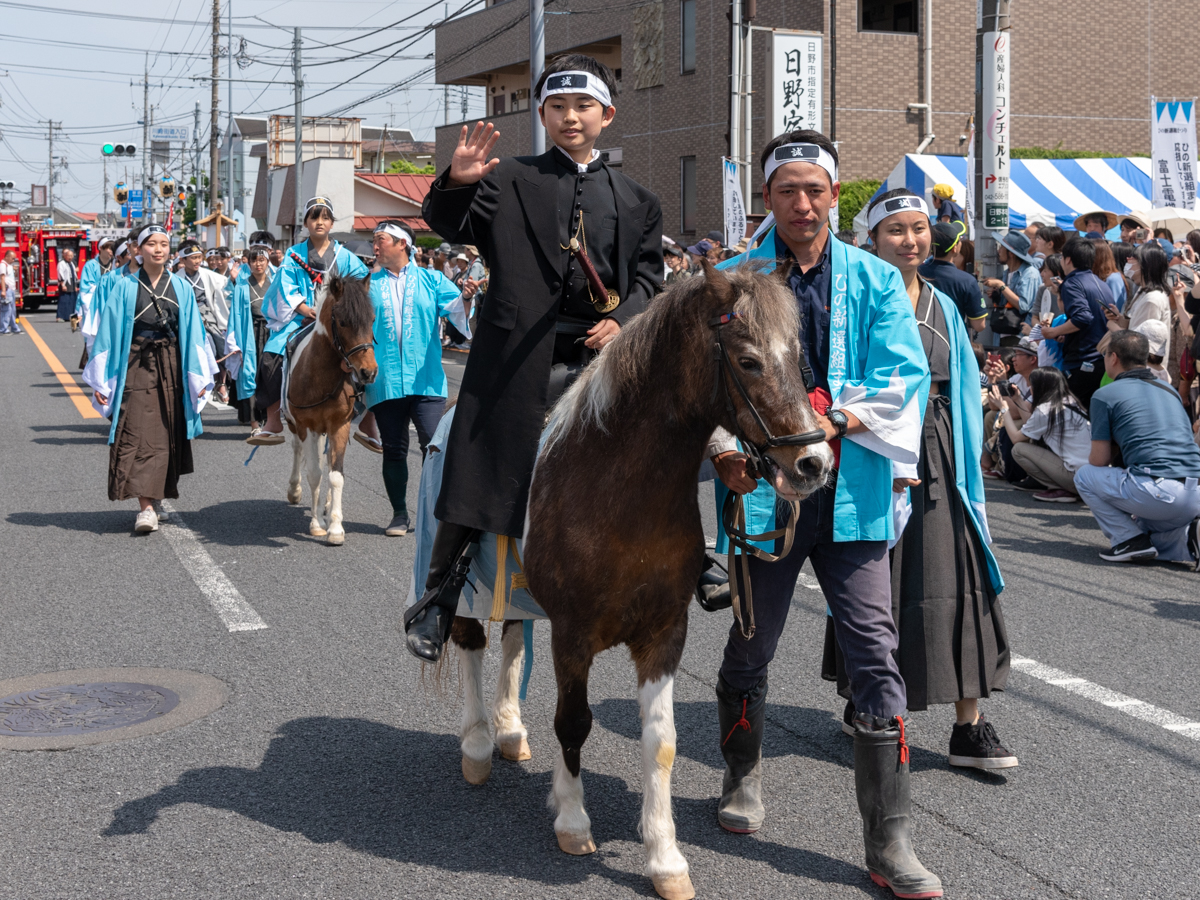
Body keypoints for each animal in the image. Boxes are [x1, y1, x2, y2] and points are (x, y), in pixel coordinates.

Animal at [282, 271, 372, 547]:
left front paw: (335, 526)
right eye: (343, 322)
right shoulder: (306, 425)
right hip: (296, 424)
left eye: (372, 320)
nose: (368, 372)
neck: (321, 374)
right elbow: (314, 473)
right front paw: (316, 525)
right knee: (298, 451)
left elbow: (335, 475)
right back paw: (295, 490)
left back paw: (327, 505)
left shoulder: (339, 424)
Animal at [525, 262, 835, 900]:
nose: (814, 465)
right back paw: (484, 738)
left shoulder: (664, 632)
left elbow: (662, 743)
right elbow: (573, 723)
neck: (619, 494)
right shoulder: (571, 634)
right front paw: (572, 820)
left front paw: (664, 857)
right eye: (748, 361)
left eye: (797, 358)